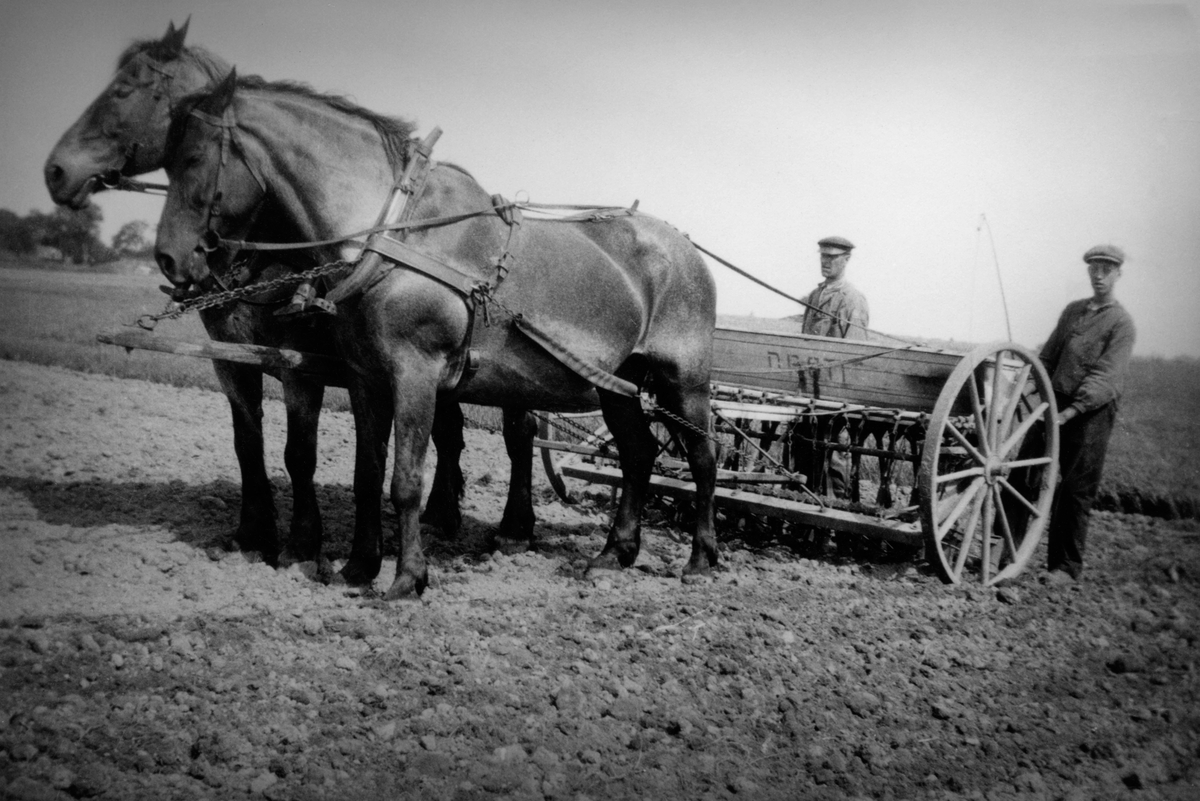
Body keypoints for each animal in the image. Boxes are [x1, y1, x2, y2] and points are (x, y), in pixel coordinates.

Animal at [43, 18, 530, 568]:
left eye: (124, 89)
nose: (55, 171)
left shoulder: (301, 368)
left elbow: (299, 453)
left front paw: (301, 541)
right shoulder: (230, 361)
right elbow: (246, 443)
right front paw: (252, 532)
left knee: (519, 436)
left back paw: (514, 527)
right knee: (450, 431)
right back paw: (441, 514)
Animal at [148, 73, 710, 599]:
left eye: (194, 156)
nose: (170, 259)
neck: (391, 237)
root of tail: (684, 245)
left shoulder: (412, 373)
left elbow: (405, 480)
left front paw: (407, 577)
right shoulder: (365, 378)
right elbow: (367, 474)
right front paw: (359, 567)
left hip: (683, 379)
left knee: (703, 457)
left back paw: (701, 558)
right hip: (620, 384)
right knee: (639, 455)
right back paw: (615, 553)